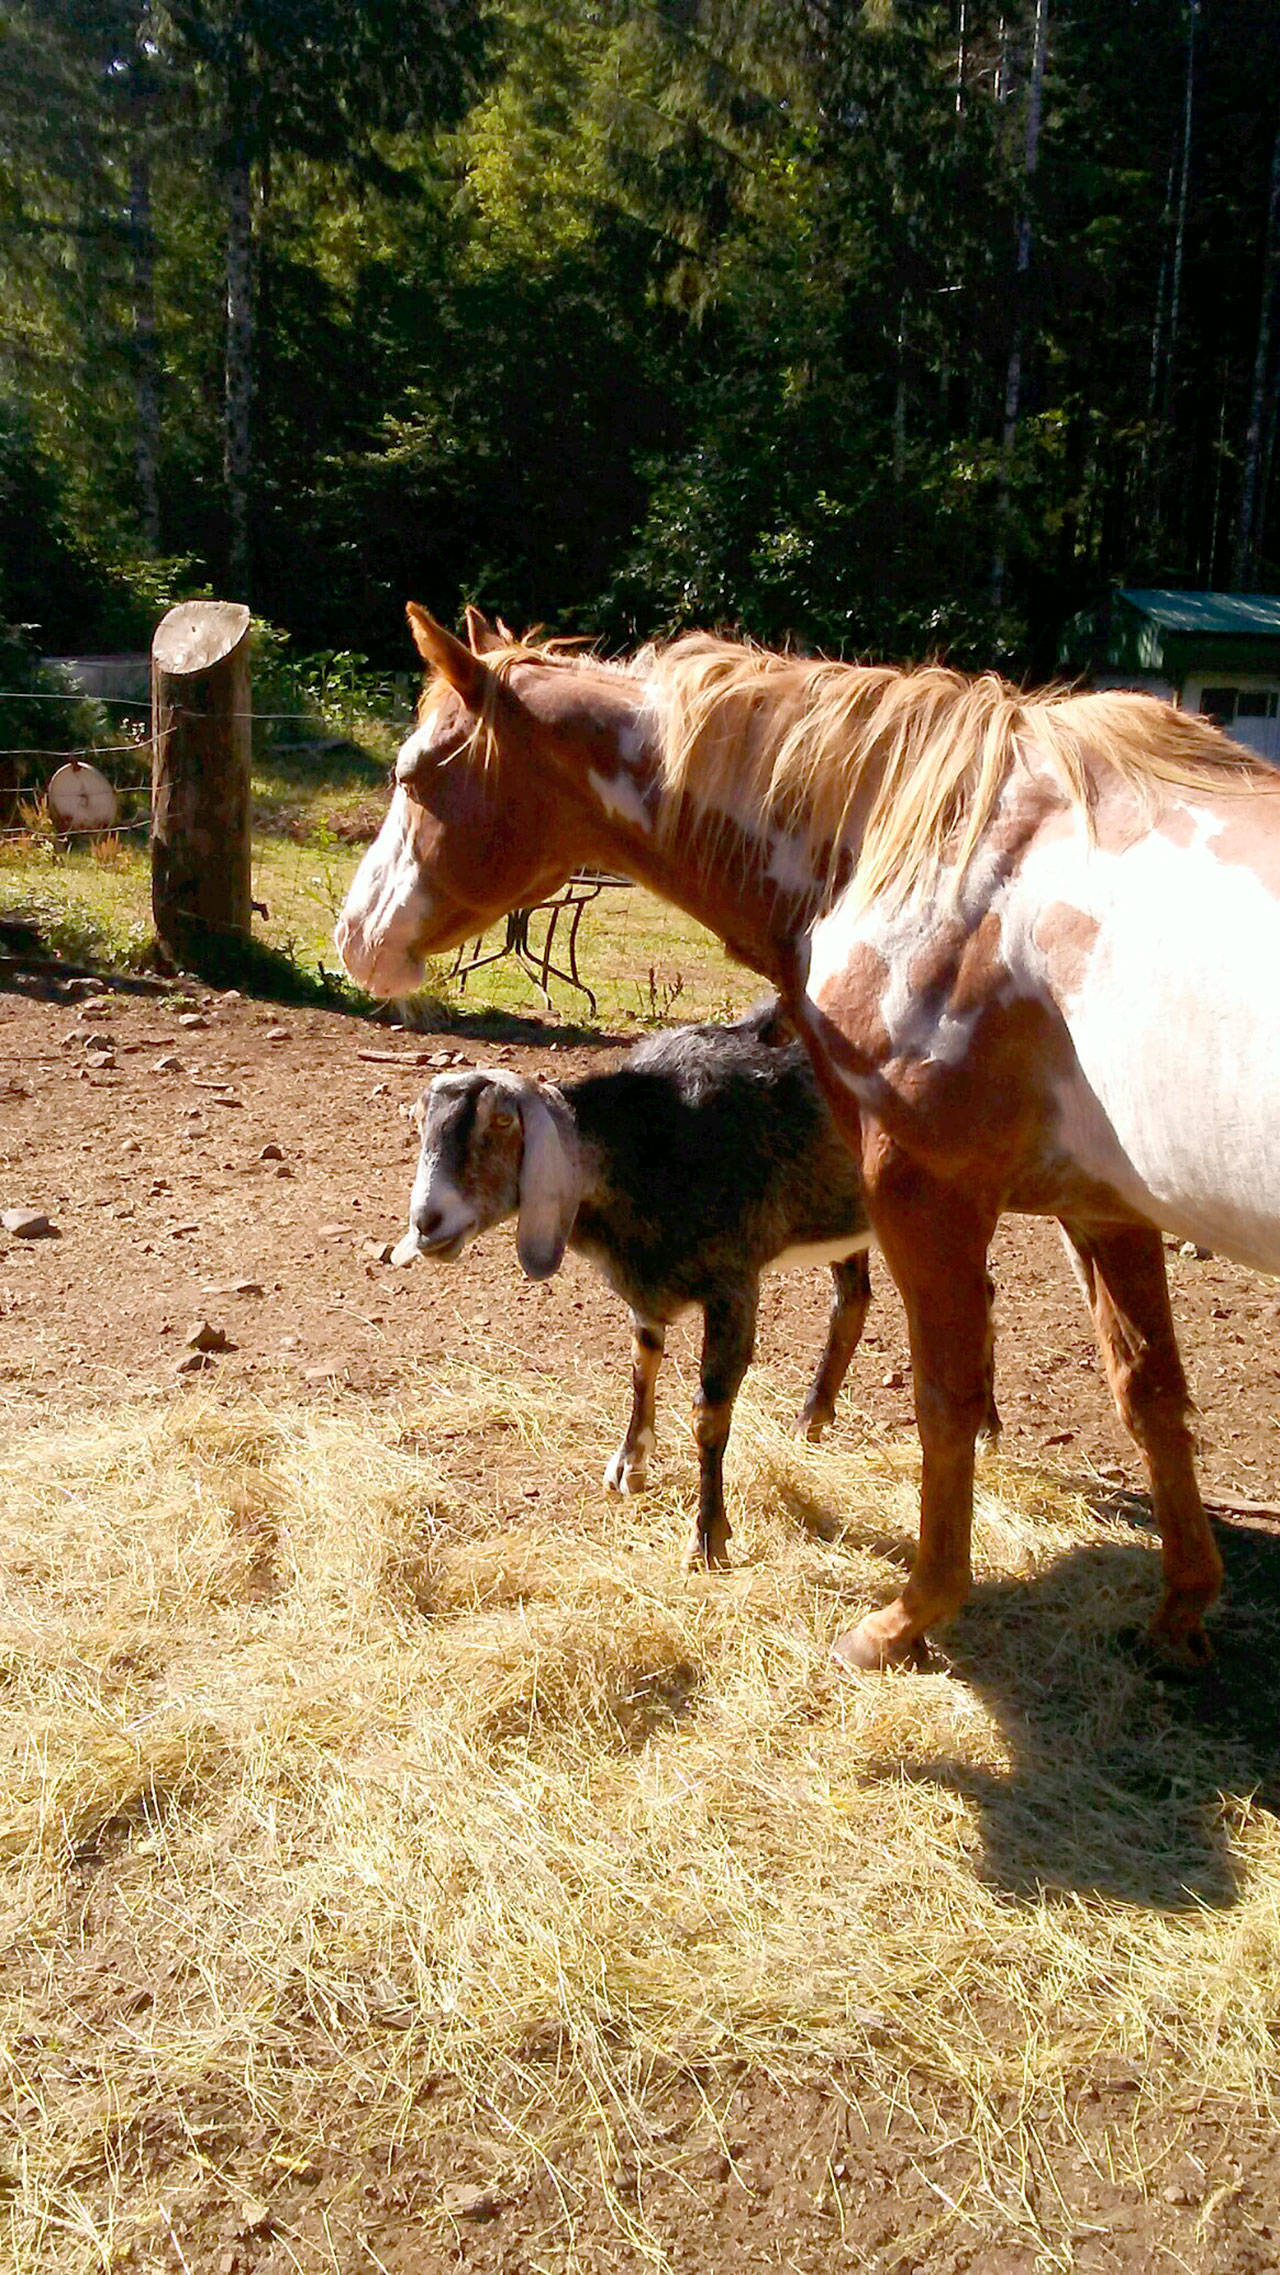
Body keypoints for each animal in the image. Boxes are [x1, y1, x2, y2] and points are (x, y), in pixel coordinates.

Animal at [393, 1006, 999, 1569]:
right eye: (419, 1122)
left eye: (500, 1122)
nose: (427, 1222)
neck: (653, 1142)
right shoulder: (646, 1289)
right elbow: (642, 1368)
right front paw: (629, 1466)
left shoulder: (733, 1285)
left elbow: (709, 1415)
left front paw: (708, 1539)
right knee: (854, 1299)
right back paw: (812, 1419)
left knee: (977, 1296)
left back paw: (983, 1429)